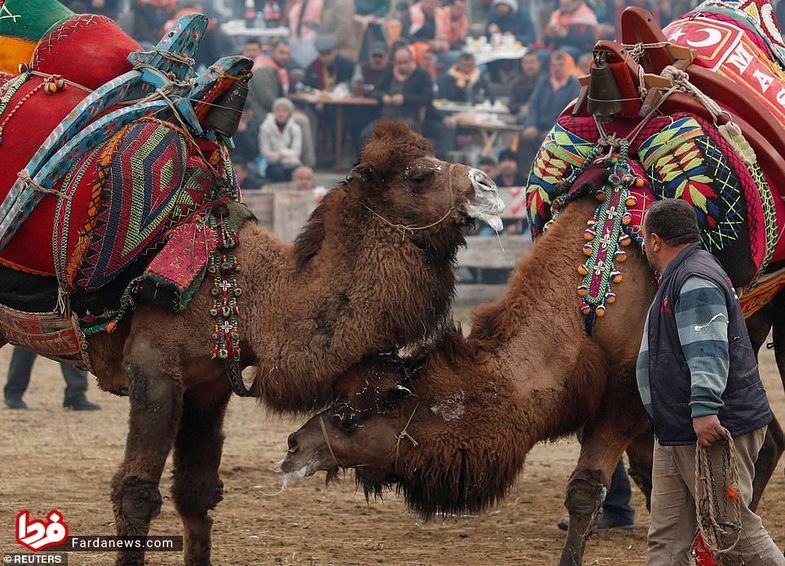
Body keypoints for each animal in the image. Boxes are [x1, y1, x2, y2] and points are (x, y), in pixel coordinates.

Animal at [280, 194, 784, 564]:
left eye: (349, 418)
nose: (294, 445)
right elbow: (652, 475)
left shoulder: (627, 396)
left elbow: (586, 489)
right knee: (769, 436)